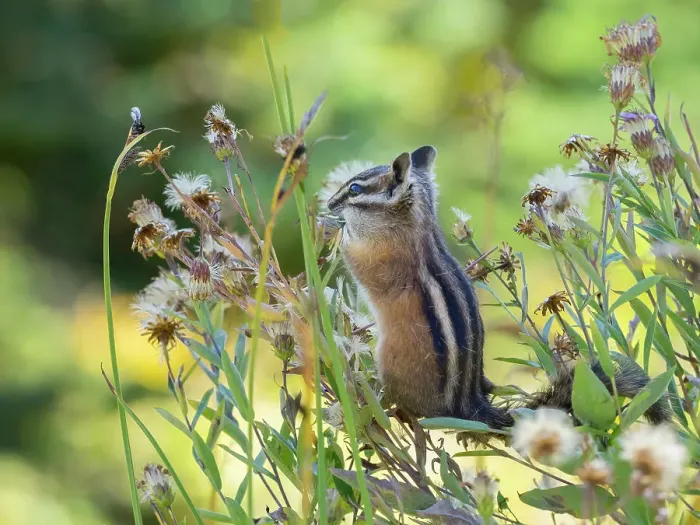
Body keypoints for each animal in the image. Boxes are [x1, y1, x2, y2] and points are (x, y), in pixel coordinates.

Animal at [326, 145, 672, 429]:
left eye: (354, 188)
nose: (329, 204)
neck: (417, 225)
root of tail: (467, 407)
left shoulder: (384, 258)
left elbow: (360, 264)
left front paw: (338, 233)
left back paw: (371, 391)